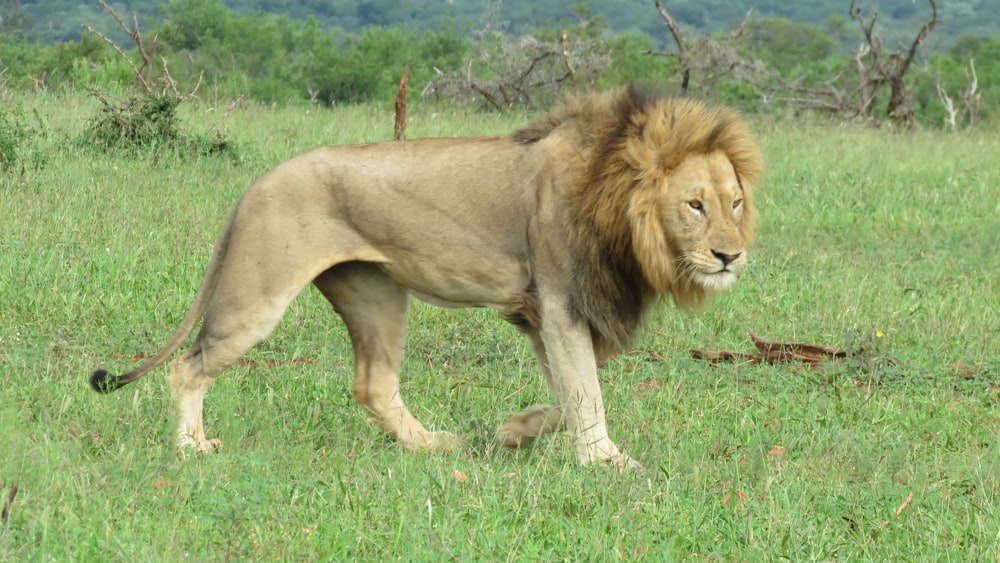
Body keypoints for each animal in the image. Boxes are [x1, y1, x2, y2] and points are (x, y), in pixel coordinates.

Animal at [90, 85, 760, 472]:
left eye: (734, 203)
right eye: (694, 205)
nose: (730, 256)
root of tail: (253, 186)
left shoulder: (542, 312)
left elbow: (571, 391)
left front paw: (516, 432)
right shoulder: (559, 301)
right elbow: (584, 392)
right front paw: (606, 462)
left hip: (376, 294)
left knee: (373, 387)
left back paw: (433, 446)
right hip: (257, 298)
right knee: (190, 365)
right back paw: (191, 448)